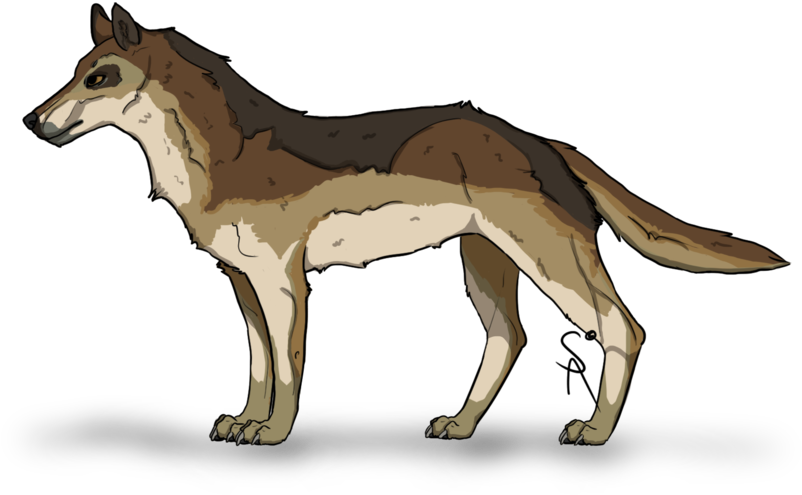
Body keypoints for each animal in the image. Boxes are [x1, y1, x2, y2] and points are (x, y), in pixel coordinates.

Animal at [24, 5, 789, 445]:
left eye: (99, 78)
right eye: (77, 70)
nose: (31, 121)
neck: (223, 158)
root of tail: (542, 142)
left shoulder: (284, 280)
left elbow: (290, 368)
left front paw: (272, 433)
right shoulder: (240, 282)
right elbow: (258, 364)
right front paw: (245, 420)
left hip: (553, 263)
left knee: (621, 329)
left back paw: (595, 431)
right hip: (484, 261)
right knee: (510, 338)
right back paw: (461, 423)